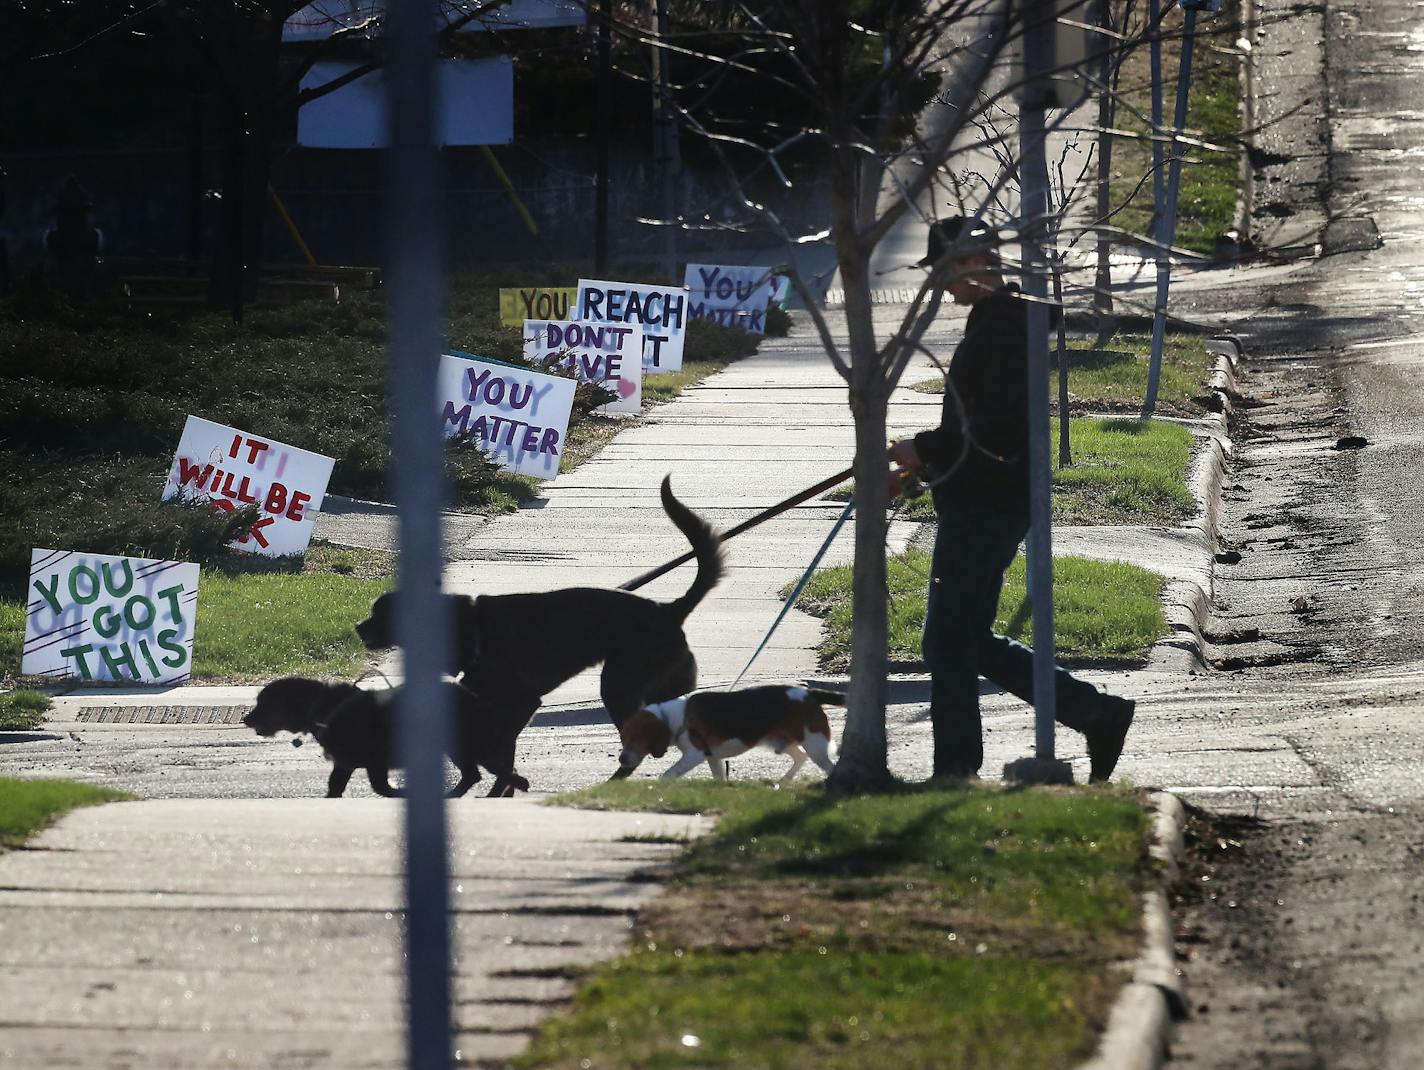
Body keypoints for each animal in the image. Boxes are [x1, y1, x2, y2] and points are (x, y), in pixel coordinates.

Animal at [244, 681, 535, 797]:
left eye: (263, 704)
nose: (246, 719)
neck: (322, 707)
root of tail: (474, 699)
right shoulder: (346, 762)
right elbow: (336, 786)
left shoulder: (372, 759)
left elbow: (381, 787)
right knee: (480, 773)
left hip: (463, 742)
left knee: (488, 771)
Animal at [356, 475, 723, 752]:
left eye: (382, 614)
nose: (358, 627)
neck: (468, 627)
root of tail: (669, 610)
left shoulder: (522, 701)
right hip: (666, 686)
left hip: (620, 683)